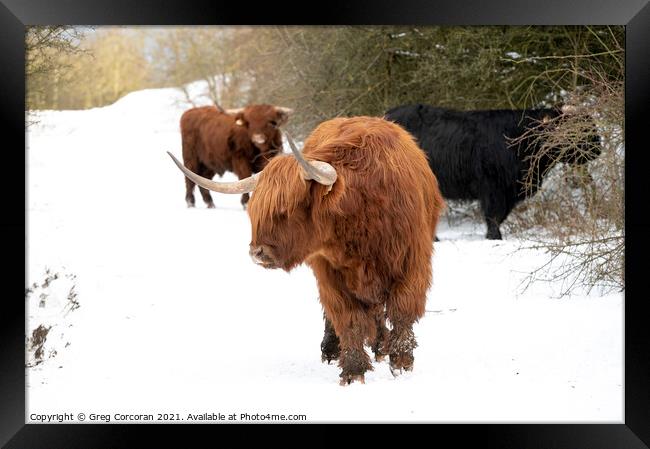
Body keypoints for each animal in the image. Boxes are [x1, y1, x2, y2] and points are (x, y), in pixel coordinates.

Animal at [166, 116, 446, 384]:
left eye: (287, 209)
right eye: (255, 210)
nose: (257, 253)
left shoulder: (411, 264)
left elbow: (402, 311)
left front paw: (401, 363)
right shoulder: (330, 273)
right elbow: (349, 319)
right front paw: (353, 370)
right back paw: (334, 350)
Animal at [382, 104, 600, 240]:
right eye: (574, 128)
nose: (598, 148)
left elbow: (499, 216)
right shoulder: (494, 187)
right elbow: (494, 216)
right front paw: (495, 237)